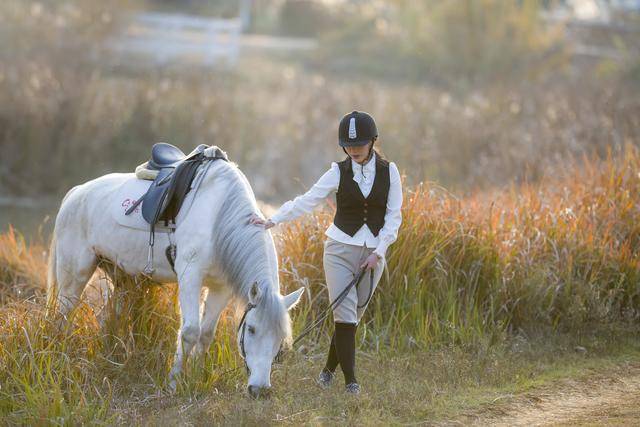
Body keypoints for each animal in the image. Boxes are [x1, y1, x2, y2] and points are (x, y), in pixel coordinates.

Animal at [46, 156, 304, 398]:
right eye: (250, 329)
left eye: (281, 336)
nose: (259, 390)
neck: (218, 217)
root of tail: (76, 193)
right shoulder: (190, 276)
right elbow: (190, 332)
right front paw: (174, 383)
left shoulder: (220, 288)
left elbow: (206, 334)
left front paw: (198, 377)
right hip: (74, 276)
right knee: (62, 318)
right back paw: (60, 359)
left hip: (121, 278)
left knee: (107, 318)